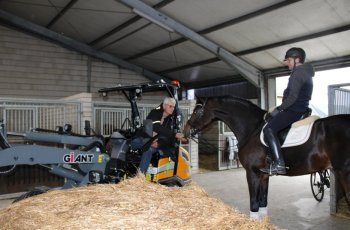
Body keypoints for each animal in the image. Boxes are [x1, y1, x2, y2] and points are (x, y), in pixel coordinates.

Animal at [183, 95, 350, 219]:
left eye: (196, 112)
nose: (185, 131)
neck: (252, 129)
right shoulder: (264, 175)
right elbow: (263, 202)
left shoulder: (252, 173)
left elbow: (254, 203)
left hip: (344, 173)